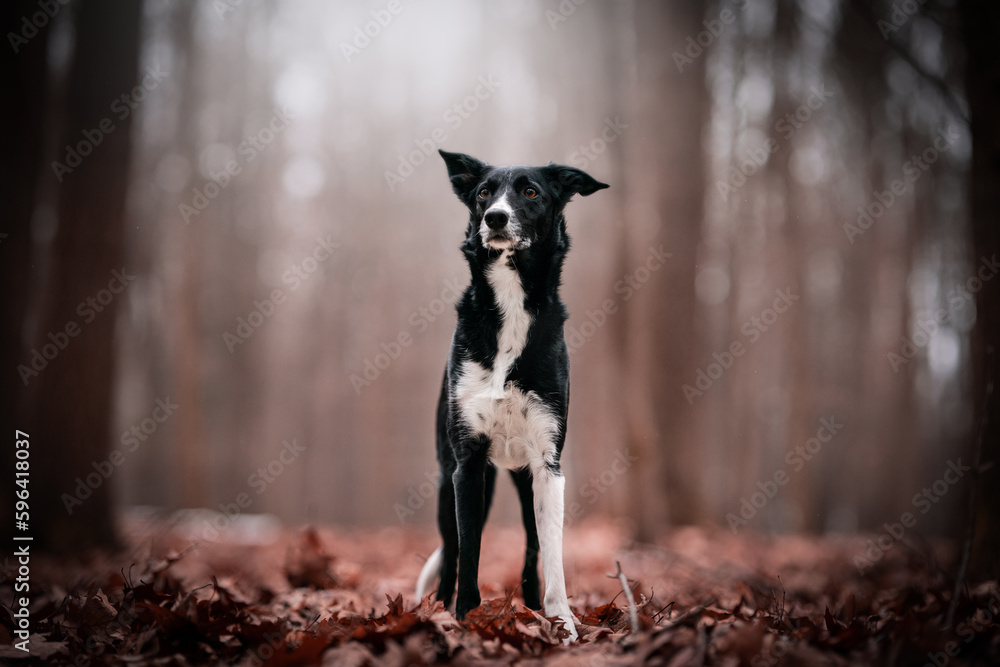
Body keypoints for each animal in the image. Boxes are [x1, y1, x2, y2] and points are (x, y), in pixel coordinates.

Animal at [416, 150, 608, 640]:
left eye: (531, 191)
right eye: (484, 192)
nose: (495, 217)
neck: (511, 302)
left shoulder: (547, 464)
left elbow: (551, 554)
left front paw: (563, 623)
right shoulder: (467, 464)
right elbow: (469, 552)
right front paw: (464, 617)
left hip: (523, 483)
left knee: (530, 548)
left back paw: (531, 607)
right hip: (448, 481)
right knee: (451, 551)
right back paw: (438, 606)